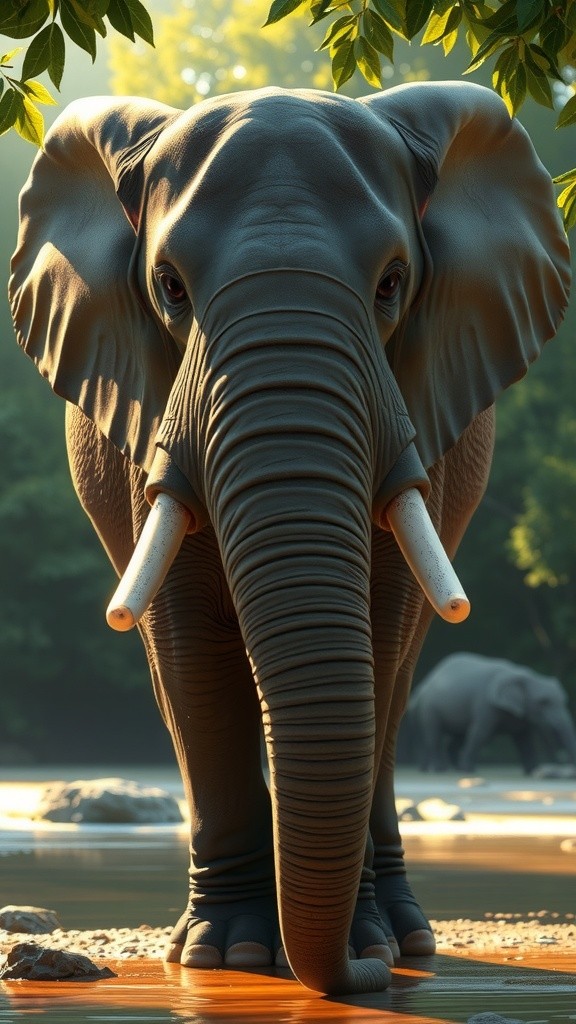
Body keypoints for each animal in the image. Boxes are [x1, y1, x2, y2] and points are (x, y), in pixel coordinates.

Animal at [408, 652, 576, 774]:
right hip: (429, 707)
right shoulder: (485, 704)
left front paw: (531, 772)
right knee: (434, 735)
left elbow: (524, 739)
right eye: (543, 702)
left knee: (457, 737)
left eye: (564, 701)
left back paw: (454, 768)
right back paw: (441, 770)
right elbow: (481, 733)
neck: (522, 674)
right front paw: (469, 770)